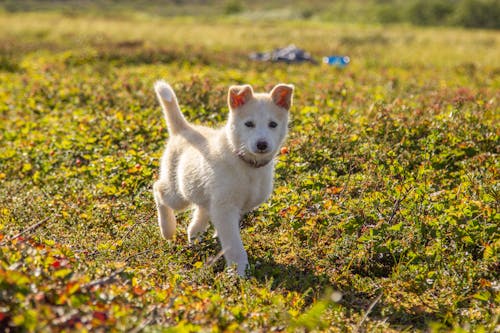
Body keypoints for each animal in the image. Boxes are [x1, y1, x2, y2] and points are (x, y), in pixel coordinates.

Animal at [152, 80, 292, 274]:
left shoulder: (235, 206)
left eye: (273, 124)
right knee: (158, 189)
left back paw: (194, 233)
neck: (246, 164)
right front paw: (239, 271)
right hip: (178, 194)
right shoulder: (225, 207)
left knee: (202, 208)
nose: (262, 144)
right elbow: (234, 244)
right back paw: (167, 229)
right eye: (249, 124)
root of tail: (183, 129)